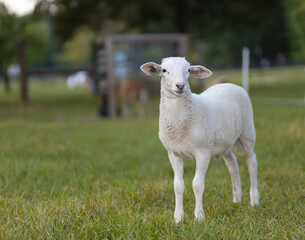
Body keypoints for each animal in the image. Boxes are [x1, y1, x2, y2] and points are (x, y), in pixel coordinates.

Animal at [139, 57, 258, 224]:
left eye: (188, 70)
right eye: (164, 70)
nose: (180, 86)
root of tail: (230, 84)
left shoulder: (203, 151)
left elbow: (197, 184)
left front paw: (199, 216)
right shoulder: (173, 153)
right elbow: (178, 185)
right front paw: (178, 217)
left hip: (247, 132)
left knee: (251, 162)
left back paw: (254, 200)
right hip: (223, 142)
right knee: (232, 163)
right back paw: (237, 198)